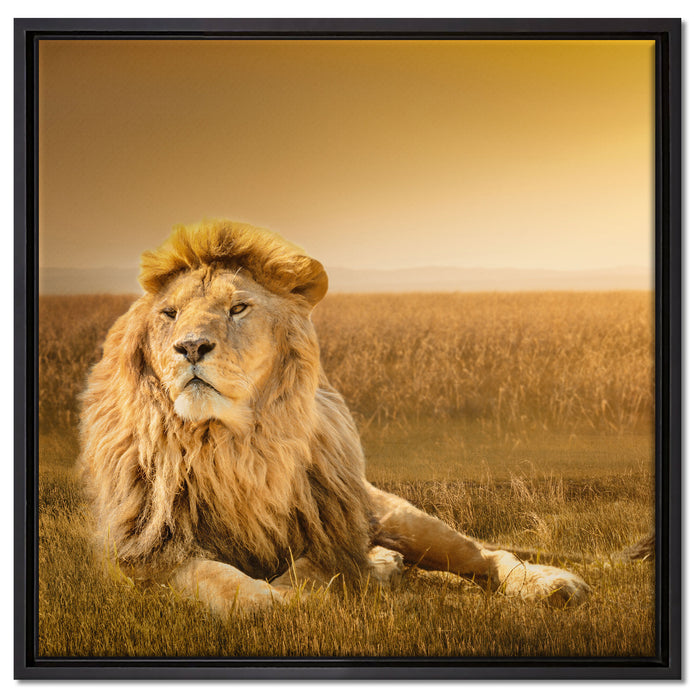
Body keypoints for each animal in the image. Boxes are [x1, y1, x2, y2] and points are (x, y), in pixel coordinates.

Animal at [79, 219, 591, 614]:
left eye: (238, 307)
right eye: (169, 313)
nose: (189, 347)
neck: (231, 445)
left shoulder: (330, 531)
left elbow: (313, 569)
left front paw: (316, 588)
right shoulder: (146, 551)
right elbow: (218, 580)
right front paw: (269, 601)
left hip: (396, 516)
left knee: (484, 554)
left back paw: (551, 584)